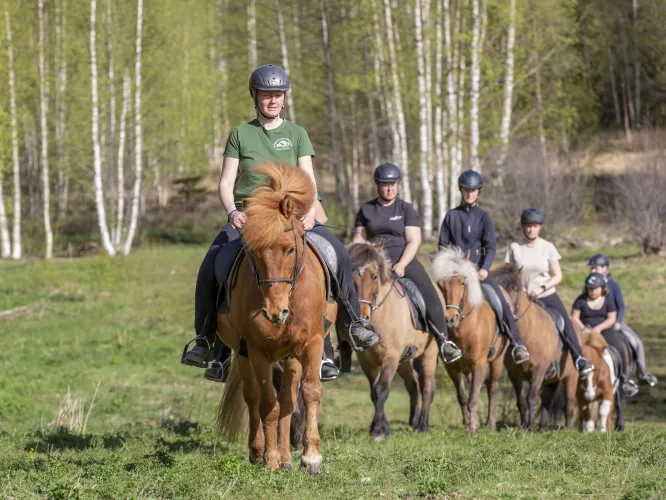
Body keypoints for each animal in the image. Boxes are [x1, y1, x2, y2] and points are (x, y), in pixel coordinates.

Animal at [215, 162, 334, 474]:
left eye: (290, 248)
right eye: (254, 253)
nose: (274, 312)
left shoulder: (312, 343)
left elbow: (309, 393)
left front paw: (311, 457)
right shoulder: (258, 351)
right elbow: (268, 402)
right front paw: (270, 460)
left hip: (291, 356)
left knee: (289, 400)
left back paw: (287, 456)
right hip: (244, 353)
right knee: (254, 397)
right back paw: (260, 453)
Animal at [344, 240, 438, 440]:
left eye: (374, 277)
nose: (362, 317)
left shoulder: (391, 357)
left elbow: (381, 389)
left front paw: (379, 431)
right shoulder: (367, 362)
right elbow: (374, 392)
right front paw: (381, 427)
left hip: (429, 353)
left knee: (427, 386)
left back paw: (423, 425)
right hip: (404, 361)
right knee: (413, 385)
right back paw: (413, 422)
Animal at [428, 248, 506, 436]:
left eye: (462, 282)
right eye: (440, 284)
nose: (450, 318)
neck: (466, 328)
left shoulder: (479, 363)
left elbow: (474, 398)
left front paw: (473, 430)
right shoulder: (453, 367)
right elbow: (463, 397)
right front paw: (468, 424)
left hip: (497, 360)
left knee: (492, 388)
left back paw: (490, 423)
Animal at [490, 266, 580, 430]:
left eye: (516, 289)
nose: (505, 311)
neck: (528, 333)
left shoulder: (539, 369)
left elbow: (531, 397)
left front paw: (530, 425)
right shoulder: (514, 373)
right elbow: (521, 401)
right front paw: (524, 425)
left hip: (571, 377)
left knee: (568, 405)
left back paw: (567, 428)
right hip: (550, 379)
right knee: (546, 400)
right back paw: (543, 427)